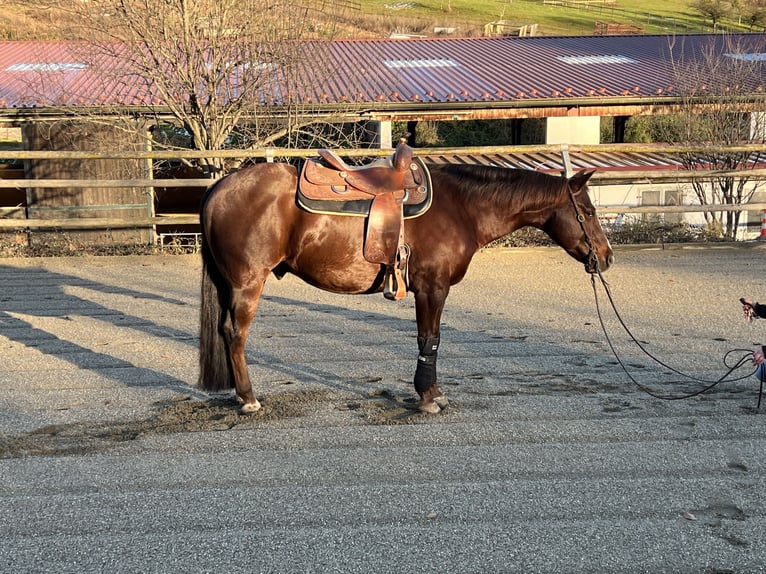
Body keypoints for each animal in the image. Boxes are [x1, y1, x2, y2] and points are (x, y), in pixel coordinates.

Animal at [201, 162, 616, 414]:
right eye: (589, 212)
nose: (607, 257)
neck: (460, 208)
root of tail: (219, 188)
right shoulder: (433, 289)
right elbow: (429, 340)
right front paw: (429, 396)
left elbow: (427, 339)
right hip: (247, 284)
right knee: (235, 334)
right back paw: (248, 398)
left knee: (225, 331)